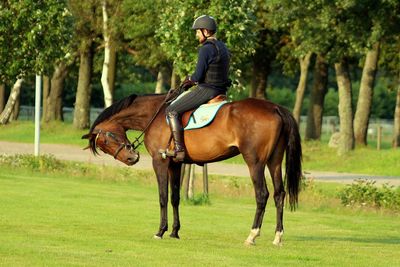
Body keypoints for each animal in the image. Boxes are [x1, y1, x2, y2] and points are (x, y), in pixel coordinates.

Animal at [82, 94, 300, 247]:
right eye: (104, 146)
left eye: (106, 140)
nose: (131, 159)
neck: (155, 114)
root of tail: (275, 108)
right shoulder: (175, 164)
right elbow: (175, 197)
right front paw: (174, 232)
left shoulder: (159, 162)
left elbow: (163, 197)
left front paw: (160, 231)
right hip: (274, 161)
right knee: (279, 194)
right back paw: (277, 237)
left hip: (254, 162)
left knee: (262, 194)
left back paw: (252, 235)